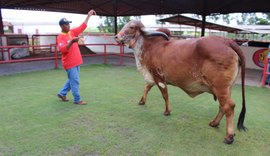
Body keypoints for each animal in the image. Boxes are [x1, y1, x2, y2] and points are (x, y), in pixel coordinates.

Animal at [115, 20, 246, 144]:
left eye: (131, 27)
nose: (116, 36)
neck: (149, 47)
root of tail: (226, 41)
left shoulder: (158, 77)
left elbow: (165, 95)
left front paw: (167, 111)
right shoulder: (152, 77)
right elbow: (146, 87)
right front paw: (142, 101)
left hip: (220, 88)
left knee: (229, 106)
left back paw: (229, 136)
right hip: (226, 89)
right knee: (222, 106)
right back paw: (214, 123)